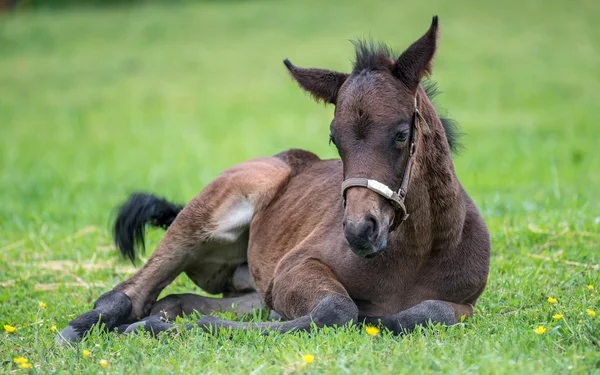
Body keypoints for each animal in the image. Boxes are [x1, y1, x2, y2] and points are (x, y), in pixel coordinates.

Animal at [56, 16, 490, 344]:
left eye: (402, 134)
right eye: (334, 138)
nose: (359, 230)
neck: (416, 253)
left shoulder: (465, 302)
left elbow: (425, 312)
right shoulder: (293, 269)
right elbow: (339, 309)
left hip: (245, 287)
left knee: (177, 299)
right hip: (207, 213)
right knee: (129, 294)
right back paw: (85, 331)